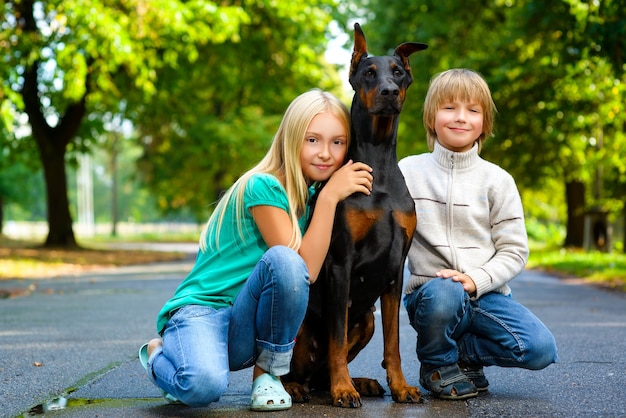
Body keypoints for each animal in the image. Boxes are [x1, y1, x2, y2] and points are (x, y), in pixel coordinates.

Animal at [284, 22, 426, 408]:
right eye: (369, 73)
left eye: (398, 72)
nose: (389, 92)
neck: (379, 165)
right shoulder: (340, 262)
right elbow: (334, 339)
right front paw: (343, 390)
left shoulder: (395, 268)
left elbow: (393, 343)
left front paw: (401, 387)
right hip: (302, 320)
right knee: (292, 370)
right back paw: (300, 387)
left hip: (366, 321)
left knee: (320, 374)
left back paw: (361, 382)